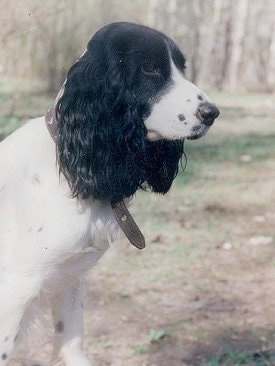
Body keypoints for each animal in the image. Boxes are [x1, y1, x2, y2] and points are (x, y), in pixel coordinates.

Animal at [0, 21, 220, 364]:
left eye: (182, 67)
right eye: (149, 67)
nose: (212, 112)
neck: (70, 164)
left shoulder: (69, 278)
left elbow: (71, 343)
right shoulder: (15, 288)